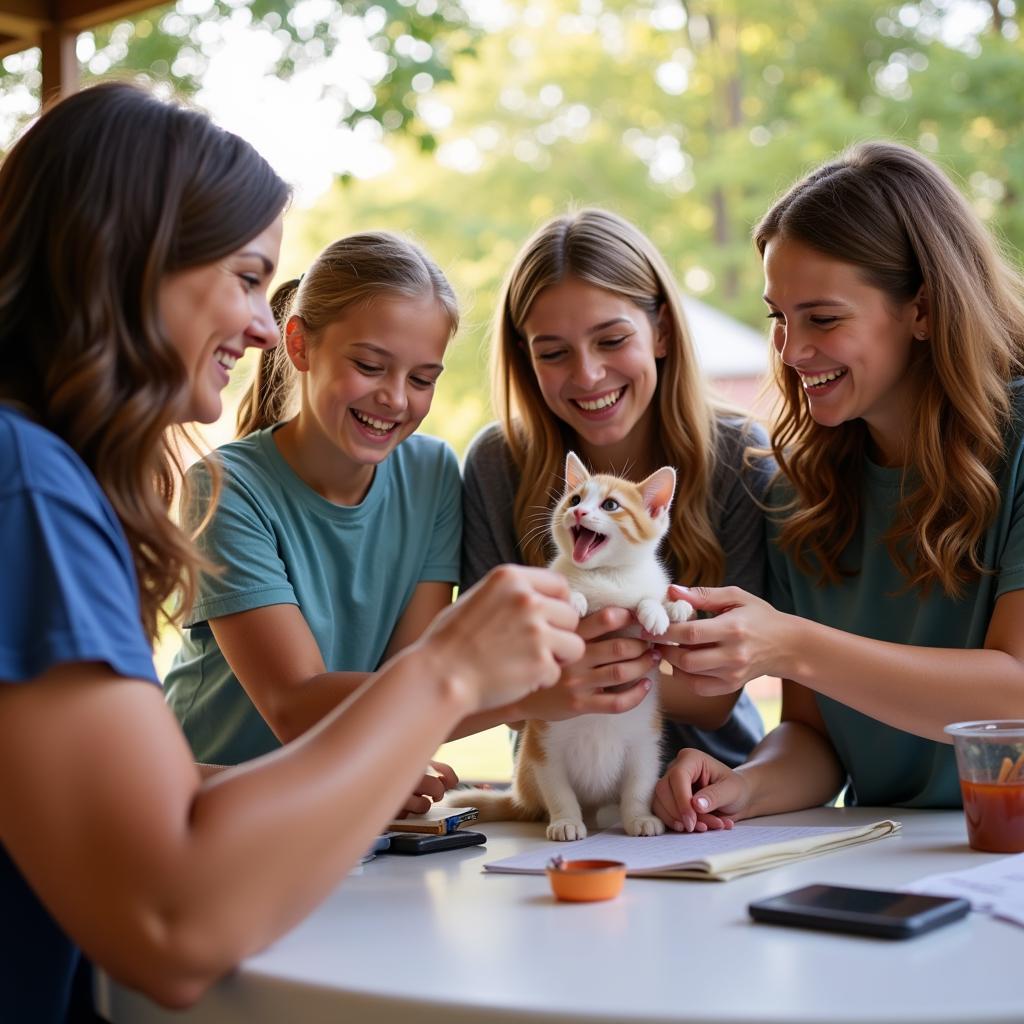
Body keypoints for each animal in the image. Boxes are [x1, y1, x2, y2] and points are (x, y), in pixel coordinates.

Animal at [452, 452, 692, 835]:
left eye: (610, 505)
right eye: (575, 499)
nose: (577, 512)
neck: (605, 576)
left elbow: (657, 610)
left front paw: (669, 607)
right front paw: (573, 598)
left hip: (644, 748)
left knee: (637, 786)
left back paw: (636, 817)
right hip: (543, 748)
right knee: (557, 789)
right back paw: (566, 821)